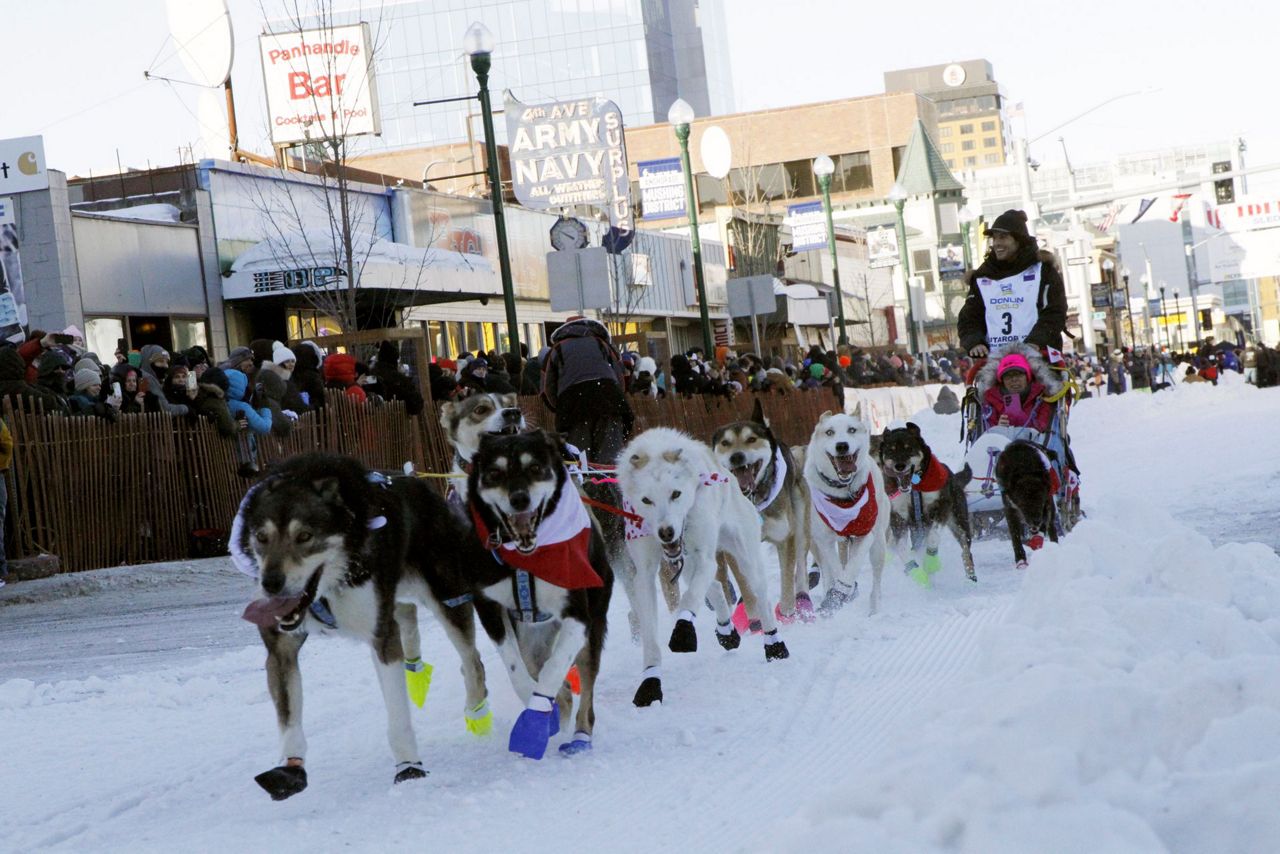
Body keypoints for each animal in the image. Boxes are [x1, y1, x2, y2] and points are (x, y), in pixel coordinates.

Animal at [232, 453, 491, 804]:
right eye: (261, 537)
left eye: (304, 536)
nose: (271, 583)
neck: (328, 589)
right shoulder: (280, 652)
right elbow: (289, 722)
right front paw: (290, 767)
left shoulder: (382, 638)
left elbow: (398, 715)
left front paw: (409, 767)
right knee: (408, 617)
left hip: (447, 599)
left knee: (471, 660)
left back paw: (477, 712)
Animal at [611, 427, 783, 706]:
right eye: (646, 500)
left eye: (675, 493)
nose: (666, 533)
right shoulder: (645, 574)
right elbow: (650, 636)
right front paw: (650, 682)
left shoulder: (704, 557)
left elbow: (690, 598)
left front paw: (683, 632)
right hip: (687, 564)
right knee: (714, 587)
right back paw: (726, 630)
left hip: (745, 558)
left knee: (760, 598)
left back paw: (774, 645)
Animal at [711, 396, 808, 624]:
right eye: (725, 443)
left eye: (751, 439)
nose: (737, 457)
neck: (753, 500)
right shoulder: (734, 548)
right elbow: (748, 589)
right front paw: (755, 620)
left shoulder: (784, 537)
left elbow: (787, 579)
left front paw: (787, 613)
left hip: (800, 525)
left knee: (801, 567)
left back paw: (803, 599)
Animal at [798, 412, 890, 617]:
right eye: (829, 432)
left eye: (851, 430)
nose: (842, 445)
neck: (842, 494)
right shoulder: (823, 540)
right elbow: (836, 568)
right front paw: (836, 596)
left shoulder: (865, 534)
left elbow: (852, 566)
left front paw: (844, 591)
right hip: (816, 544)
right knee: (827, 570)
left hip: (879, 544)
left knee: (877, 581)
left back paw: (874, 609)